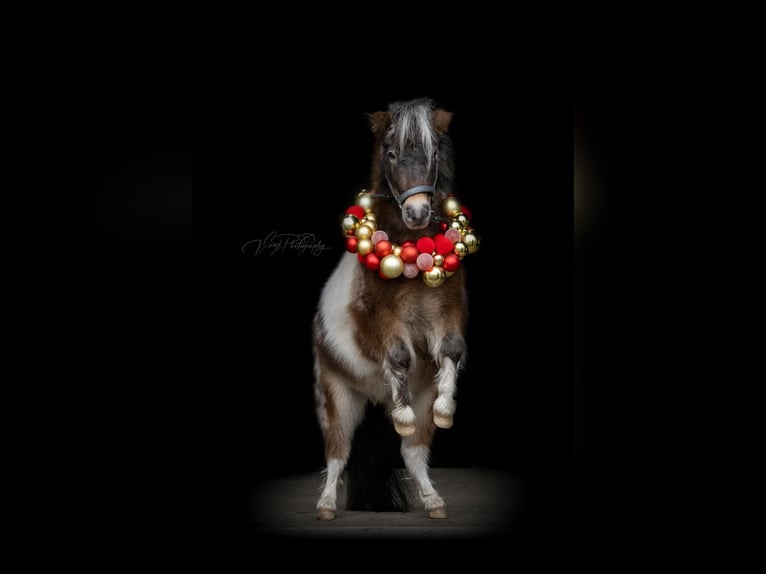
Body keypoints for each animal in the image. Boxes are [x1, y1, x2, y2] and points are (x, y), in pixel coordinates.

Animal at [312, 97, 479, 521]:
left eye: (433, 153)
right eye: (391, 153)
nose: (417, 213)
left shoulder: (447, 311)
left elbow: (451, 351)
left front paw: (446, 408)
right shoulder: (381, 321)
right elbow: (400, 354)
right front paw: (402, 416)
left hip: (412, 400)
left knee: (413, 452)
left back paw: (433, 500)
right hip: (337, 396)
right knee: (337, 453)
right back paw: (325, 505)